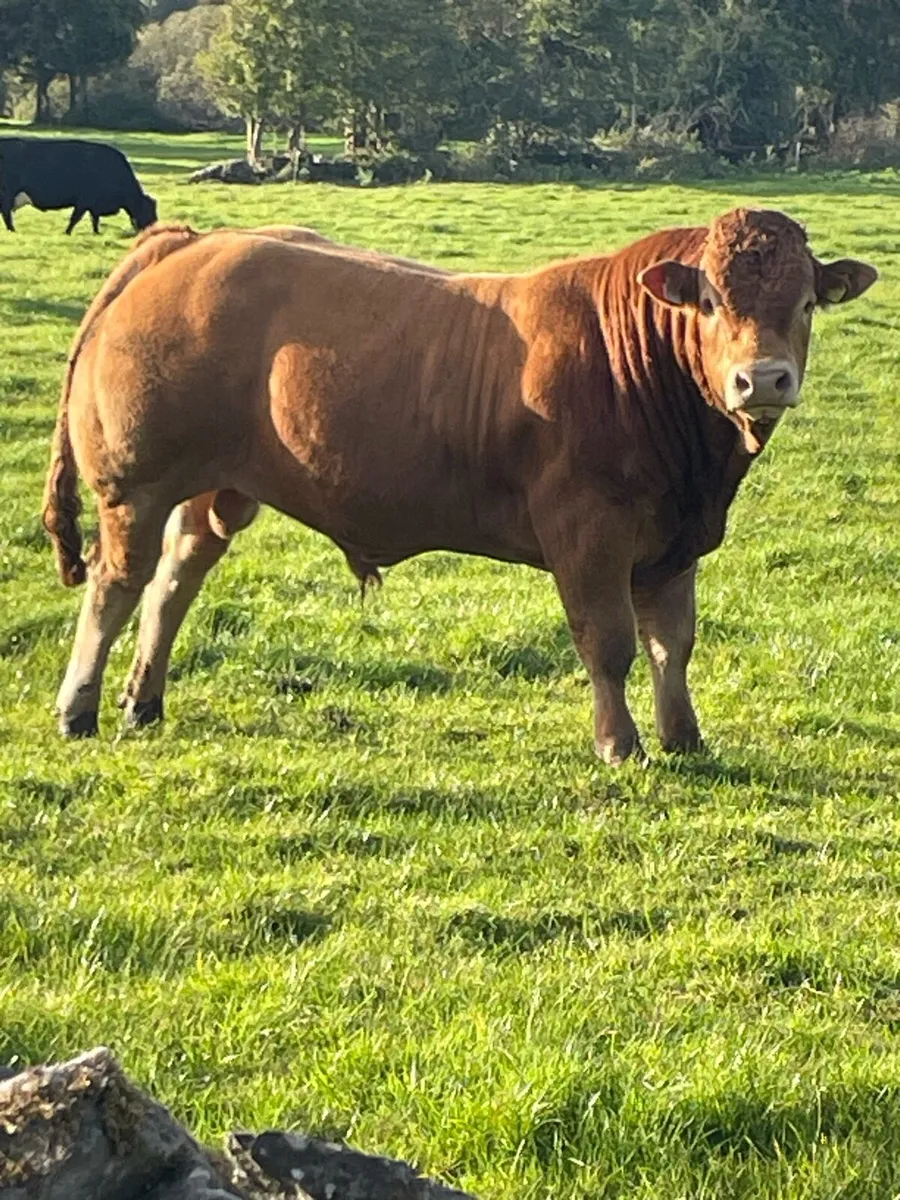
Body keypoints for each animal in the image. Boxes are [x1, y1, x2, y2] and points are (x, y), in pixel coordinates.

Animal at [0, 138, 157, 234]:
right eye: (148, 211)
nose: (154, 227)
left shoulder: (93, 204)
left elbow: (94, 219)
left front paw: (96, 233)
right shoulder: (85, 200)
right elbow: (75, 218)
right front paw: (67, 232)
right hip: (8, 193)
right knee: (6, 213)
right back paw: (12, 230)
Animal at [42, 209, 876, 762]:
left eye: (805, 303)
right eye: (709, 302)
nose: (762, 379)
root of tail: (192, 241)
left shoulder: (675, 540)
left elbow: (673, 644)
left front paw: (684, 738)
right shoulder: (590, 535)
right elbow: (608, 644)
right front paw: (622, 744)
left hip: (213, 490)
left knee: (173, 581)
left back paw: (144, 702)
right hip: (135, 485)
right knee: (118, 585)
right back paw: (78, 708)